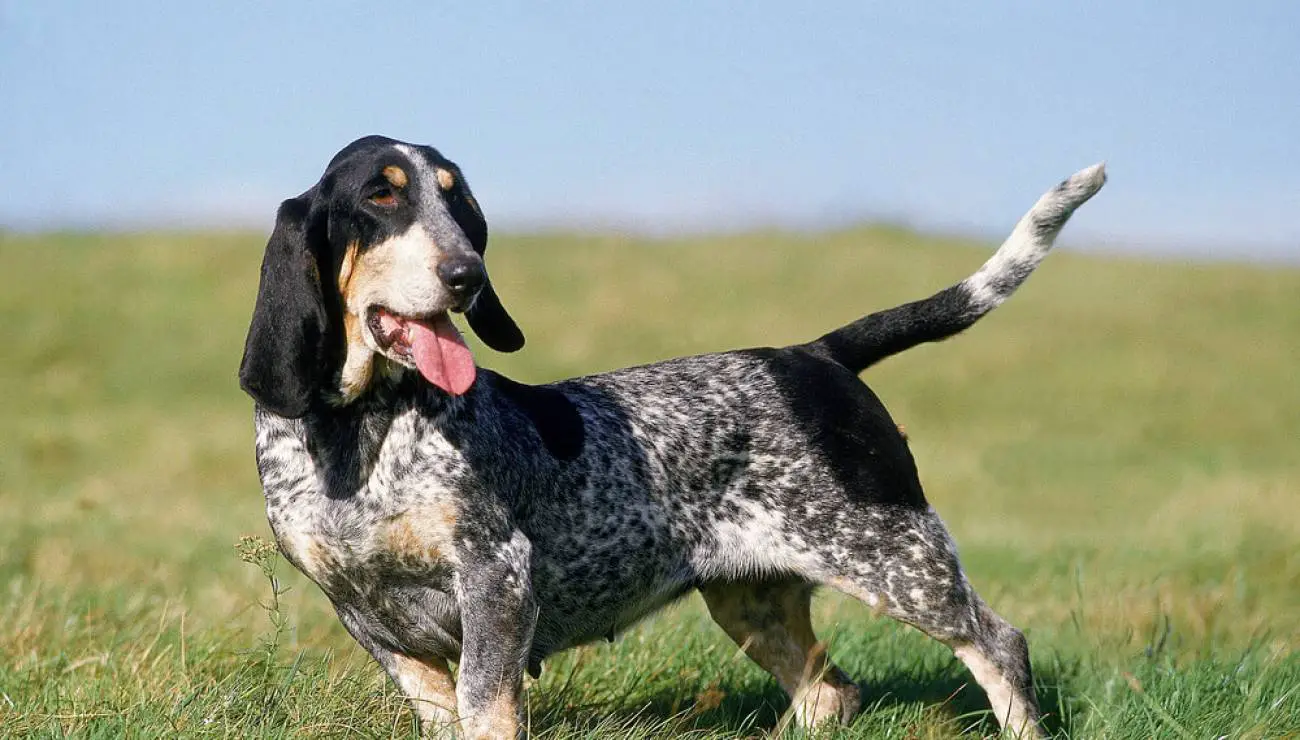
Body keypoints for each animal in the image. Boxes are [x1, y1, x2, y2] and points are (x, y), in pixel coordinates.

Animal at [236, 133, 1107, 738]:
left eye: (459, 206)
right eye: (381, 199)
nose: (467, 276)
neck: (359, 430)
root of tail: (815, 353)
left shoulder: (496, 579)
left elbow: (487, 707)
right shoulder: (367, 616)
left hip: (899, 562)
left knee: (999, 646)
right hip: (752, 598)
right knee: (830, 692)